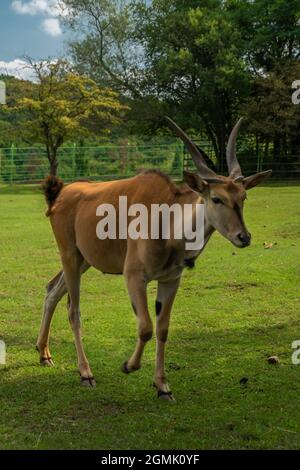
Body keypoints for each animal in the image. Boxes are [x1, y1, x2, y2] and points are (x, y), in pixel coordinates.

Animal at [35, 116, 272, 400]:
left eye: (243, 197)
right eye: (216, 198)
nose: (243, 237)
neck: (167, 220)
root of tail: (59, 194)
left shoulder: (170, 280)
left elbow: (162, 329)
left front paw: (162, 386)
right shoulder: (134, 277)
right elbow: (146, 327)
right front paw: (129, 365)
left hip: (83, 261)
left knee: (51, 290)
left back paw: (44, 353)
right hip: (69, 255)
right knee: (73, 310)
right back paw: (85, 373)